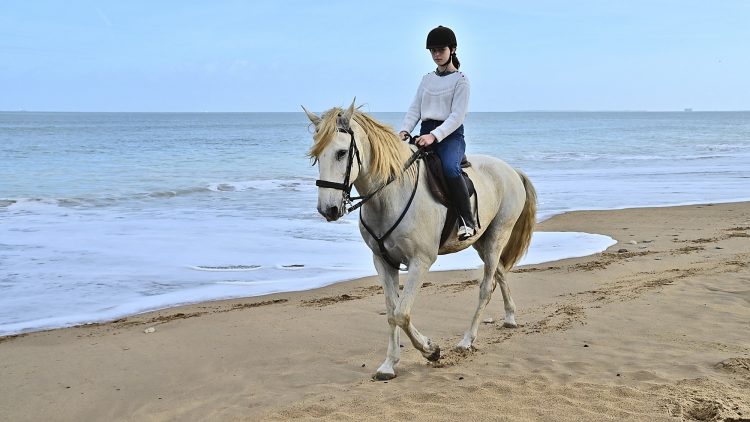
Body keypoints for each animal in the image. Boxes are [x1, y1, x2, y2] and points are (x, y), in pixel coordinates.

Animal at [303, 99, 537, 380]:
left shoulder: (420, 262)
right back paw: (510, 317)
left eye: (340, 153)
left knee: (485, 288)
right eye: (316, 156)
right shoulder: (383, 262)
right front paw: (389, 365)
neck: (390, 194)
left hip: (496, 237)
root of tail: (511, 170)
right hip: (482, 241)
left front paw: (430, 350)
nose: (327, 210)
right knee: (500, 272)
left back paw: (466, 341)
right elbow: (391, 312)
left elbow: (402, 313)